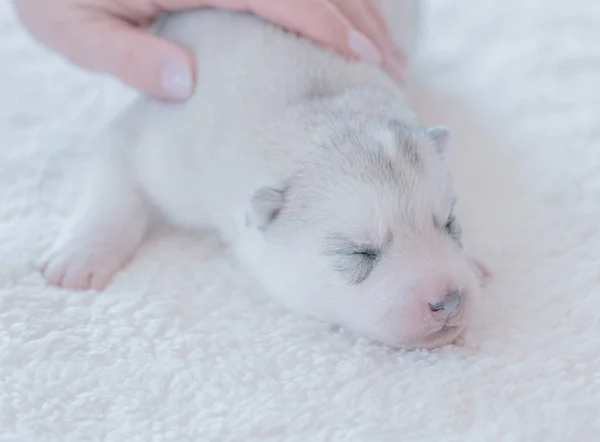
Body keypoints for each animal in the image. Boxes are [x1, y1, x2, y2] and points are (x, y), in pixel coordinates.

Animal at [44, 1, 490, 350]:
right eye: (359, 253)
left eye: (450, 224)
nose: (450, 301)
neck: (322, 105)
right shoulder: (154, 140)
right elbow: (116, 181)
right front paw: (79, 256)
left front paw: (474, 264)